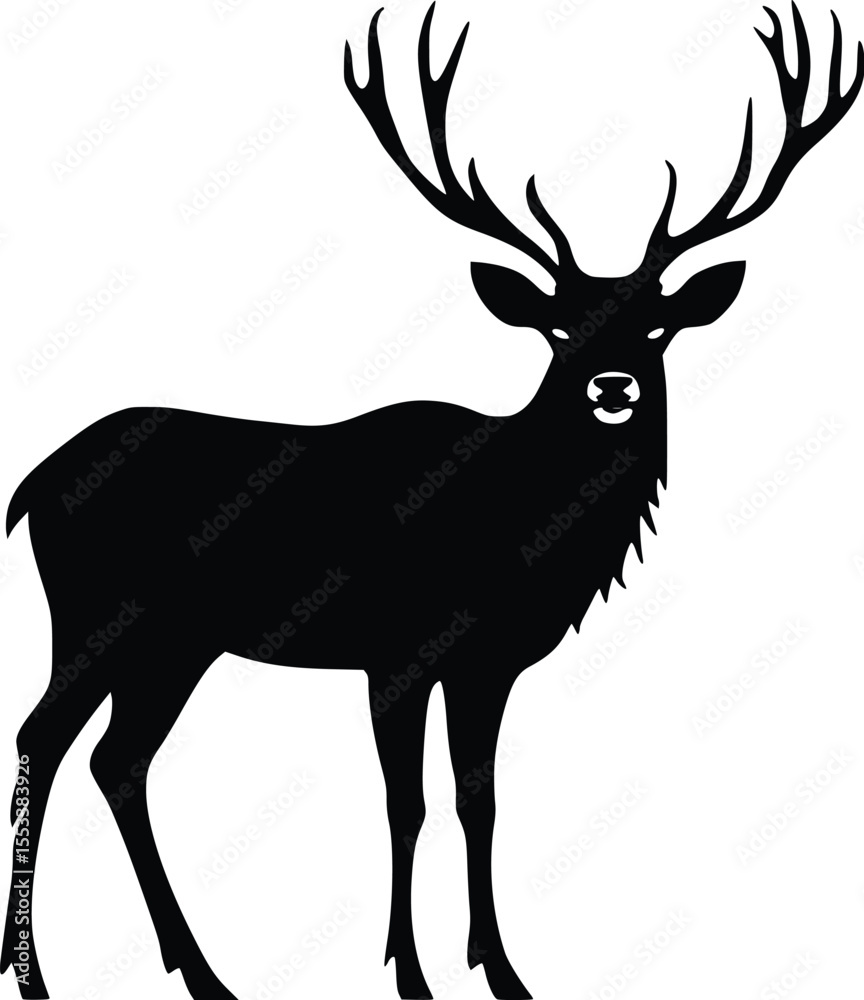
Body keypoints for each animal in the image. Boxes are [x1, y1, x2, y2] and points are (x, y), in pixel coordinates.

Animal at [2, 3, 861, 999]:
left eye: (657, 326)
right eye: (559, 327)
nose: (611, 386)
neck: (517, 529)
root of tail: (31, 484)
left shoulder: (487, 664)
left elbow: (477, 801)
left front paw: (503, 972)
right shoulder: (399, 651)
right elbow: (404, 805)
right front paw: (410, 974)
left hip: (177, 641)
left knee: (119, 759)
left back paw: (203, 974)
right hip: (100, 613)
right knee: (43, 736)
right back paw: (36, 973)